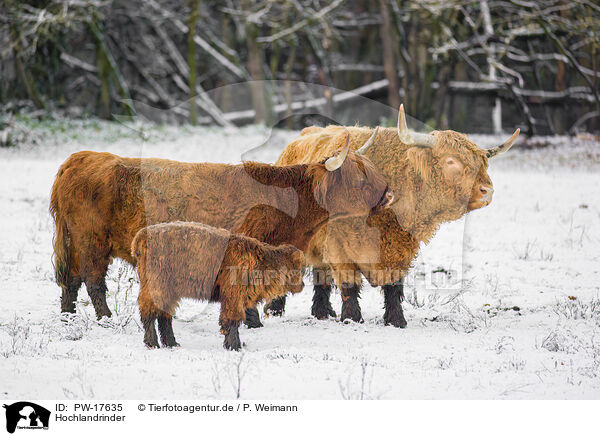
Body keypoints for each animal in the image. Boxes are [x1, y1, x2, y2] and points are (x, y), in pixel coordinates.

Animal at [49, 131, 392, 322]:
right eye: (360, 176)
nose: (389, 194)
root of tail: (79, 158)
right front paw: (253, 321)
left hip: (74, 241)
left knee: (71, 280)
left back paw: (67, 316)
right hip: (91, 241)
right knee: (93, 281)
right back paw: (106, 318)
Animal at [134, 223, 308, 350]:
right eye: (298, 268)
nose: (302, 285)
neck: (262, 262)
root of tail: (142, 235)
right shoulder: (233, 298)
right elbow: (231, 321)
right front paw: (235, 346)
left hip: (169, 292)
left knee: (164, 315)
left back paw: (171, 343)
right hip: (157, 288)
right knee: (149, 313)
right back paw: (153, 343)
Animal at [264, 104, 520, 326]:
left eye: (482, 163)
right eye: (451, 161)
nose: (488, 191)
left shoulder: (399, 249)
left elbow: (394, 287)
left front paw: (396, 320)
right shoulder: (339, 246)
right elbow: (348, 284)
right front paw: (352, 318)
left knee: (321, 273)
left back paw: (322, 312)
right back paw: (275, 310)